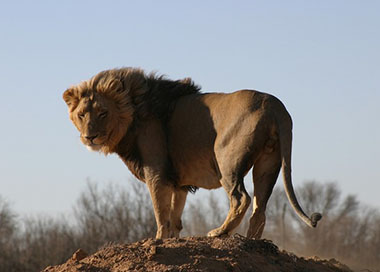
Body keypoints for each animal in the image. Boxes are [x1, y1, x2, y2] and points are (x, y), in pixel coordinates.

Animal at [63, 67, 322, 238]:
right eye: (82, 115)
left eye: (103, 113)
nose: (89, 137)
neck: (133, 110)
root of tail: (274, 105)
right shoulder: (179, 182)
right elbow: (175, 217)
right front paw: (172, 240)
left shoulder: (157, 173)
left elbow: (161, 214)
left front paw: (157, 242)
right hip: (269, 163)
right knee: (260, 208)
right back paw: (250, 242)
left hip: (227, 161)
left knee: (241, 198)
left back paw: (219, 233)